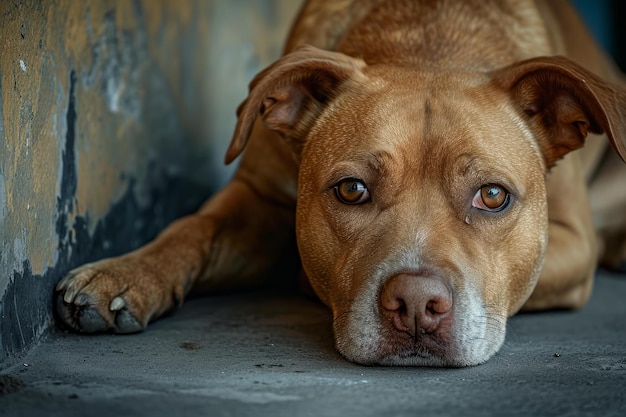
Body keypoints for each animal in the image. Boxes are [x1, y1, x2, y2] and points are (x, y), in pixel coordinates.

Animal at [56, 0, 624, 364]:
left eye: (492, 196)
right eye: (352, 190)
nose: (415, 304)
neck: (427, 40)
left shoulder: (572, 242)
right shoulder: (256, 193)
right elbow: (194, 228)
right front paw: (128, 273)